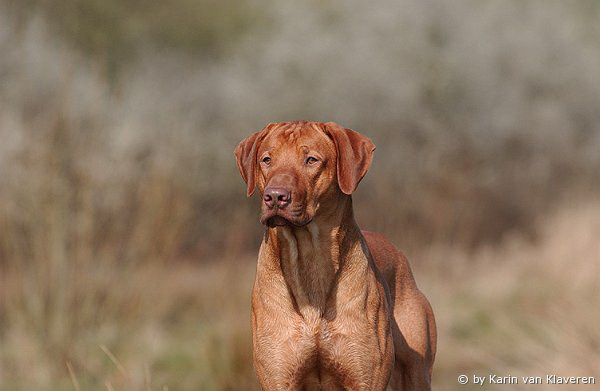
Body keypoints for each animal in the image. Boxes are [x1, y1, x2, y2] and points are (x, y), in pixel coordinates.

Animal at [234, 121, 436, 390]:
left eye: (311, 159)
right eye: (266, 159)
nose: (275, 196)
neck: (310, 258)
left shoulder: (365, 378)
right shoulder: (279, 378)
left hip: (416, 371)